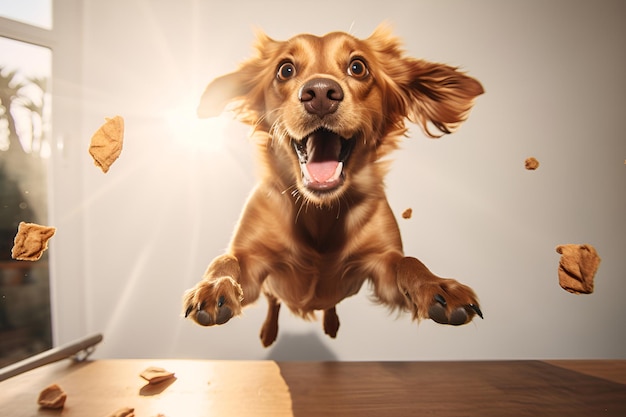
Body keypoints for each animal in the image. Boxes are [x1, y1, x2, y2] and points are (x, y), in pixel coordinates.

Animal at [180, 24, 482, 346]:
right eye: (285, 70)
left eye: (358, 67)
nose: (321, 93)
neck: (320, 211)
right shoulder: (252, 264)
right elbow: (225, 261)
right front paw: (214, 287)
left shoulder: (383, 270)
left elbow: (409, 262)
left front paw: (438, 286)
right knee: (274, 302)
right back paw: (269, 331)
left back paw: (332, 323)